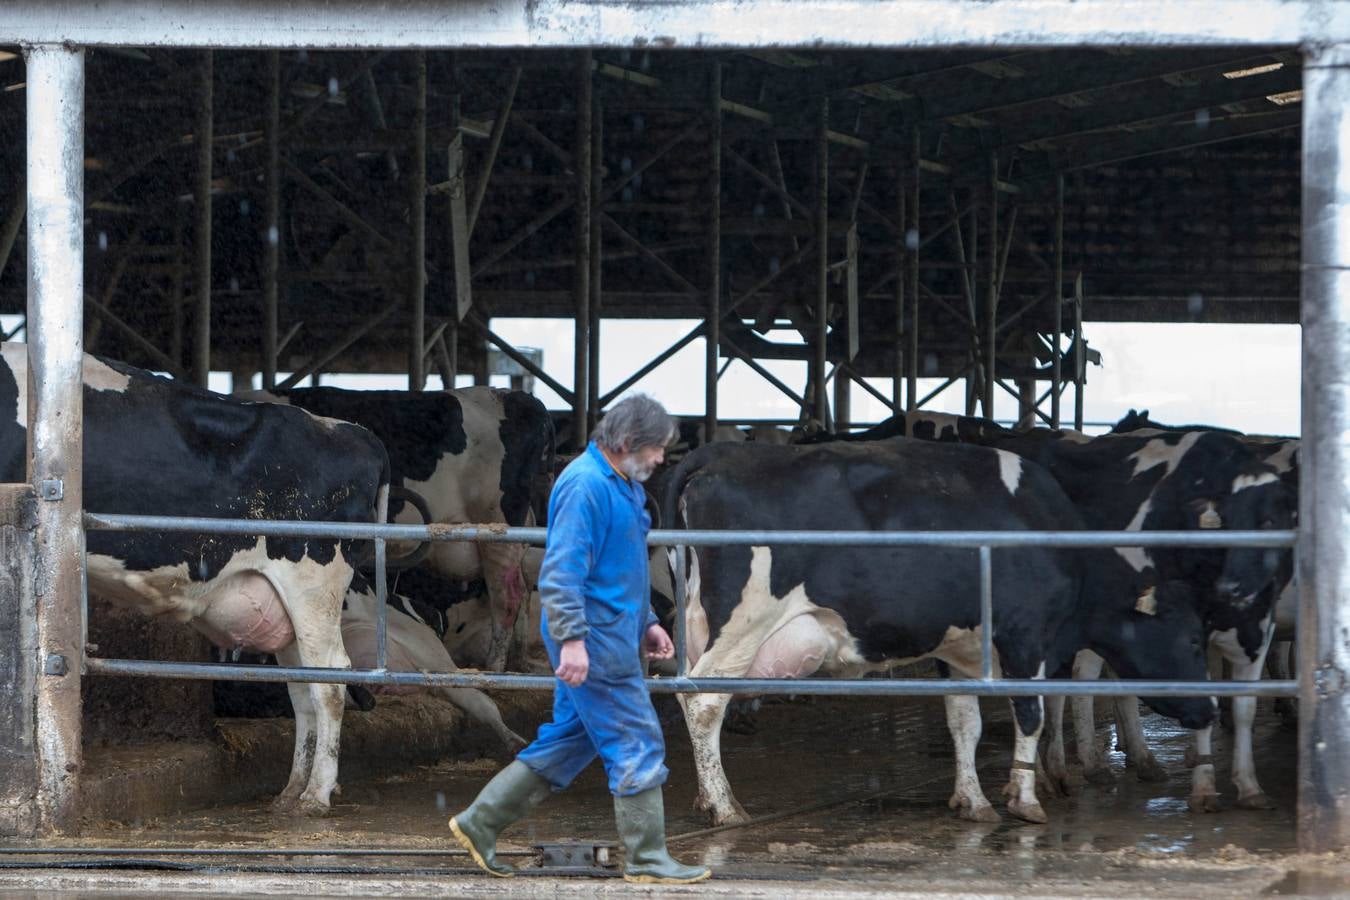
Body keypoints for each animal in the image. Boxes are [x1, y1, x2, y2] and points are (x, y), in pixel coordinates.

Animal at [0, 342, 391, 814]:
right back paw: (292, 790)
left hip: (313, 579)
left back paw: (315, 795)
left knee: (330, 680)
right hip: (285, 604)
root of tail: (358, 434)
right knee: (303, 688)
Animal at [664, 439, 1215, 825]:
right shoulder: (1026, 635)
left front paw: (973, 801)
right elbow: (1030, 714)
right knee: (705, 700)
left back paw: (709, 799)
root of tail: (720, 453)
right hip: (744, 622)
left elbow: (964, 722)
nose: (1210, 708)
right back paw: (724, 807)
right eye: (1192, 639)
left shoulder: (960, 648)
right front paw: (1024, 799)